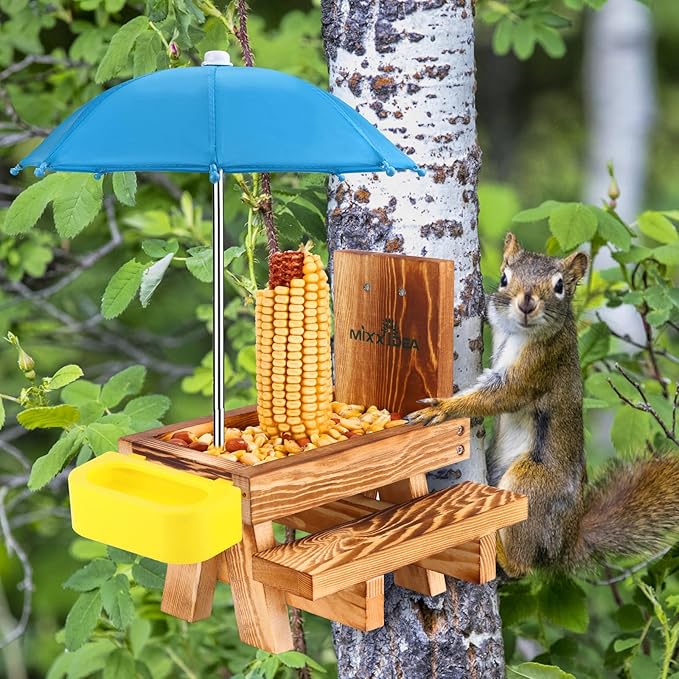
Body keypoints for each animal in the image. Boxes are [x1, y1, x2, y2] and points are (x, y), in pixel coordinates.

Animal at [407, 232, 679, 578]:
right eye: (505, 278)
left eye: (560, 285)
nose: (526, 303)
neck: (518, 332)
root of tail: (565, 544)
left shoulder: (541, 363)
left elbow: (503, 394)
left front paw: (442, 409)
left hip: (532, 483)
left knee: (522, 566)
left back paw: (502, 553)